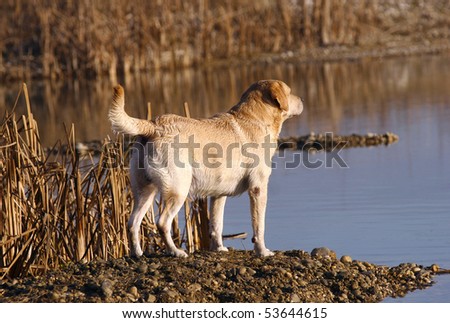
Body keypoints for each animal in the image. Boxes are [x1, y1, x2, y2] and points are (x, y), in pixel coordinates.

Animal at [109, 80, 304, 258]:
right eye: (289, 92)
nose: (302, 99)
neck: (255, 119)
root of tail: (154, 125)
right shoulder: (258, 188)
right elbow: (259, 226)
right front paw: (263, 251)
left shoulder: (218, 195)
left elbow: (216, 225)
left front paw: (219, 248)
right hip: (178, 190)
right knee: (163, 223)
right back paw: (176, 252)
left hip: (144, 192)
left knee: (132, 223)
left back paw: (137, 254)